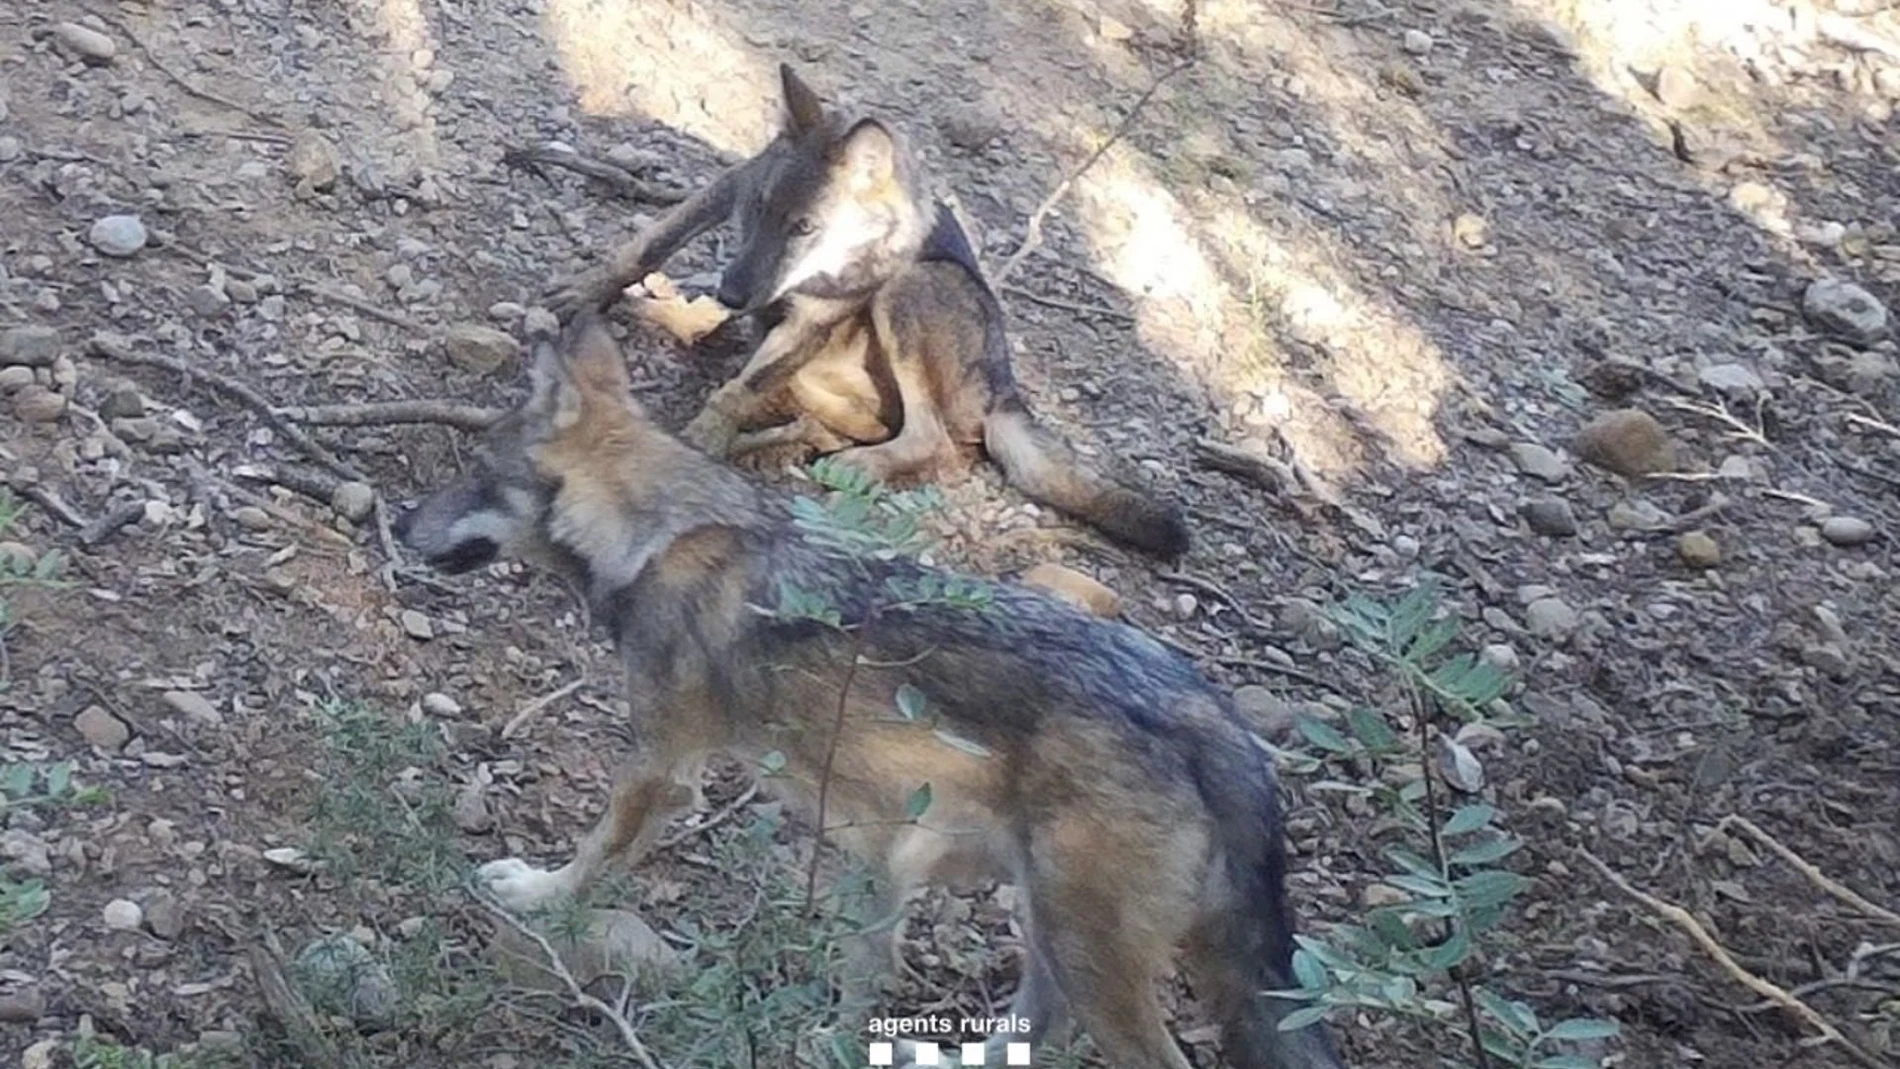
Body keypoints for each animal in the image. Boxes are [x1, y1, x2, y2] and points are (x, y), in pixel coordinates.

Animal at [394, 312, 1345, 1069]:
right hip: (1049, 933)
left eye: (475, 474)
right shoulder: (873, 858)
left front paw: (538, 895)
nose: (400, 526)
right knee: (1028, 1033)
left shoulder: (663, 768)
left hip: (1088, 956)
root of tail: (1212, 715)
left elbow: (592, 859)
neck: (659, 535)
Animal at [542, 64, 1190, 559]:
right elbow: (649, 243)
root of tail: (1005, 391)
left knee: (936, 445)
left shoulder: (814, 318)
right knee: (852, 421)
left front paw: (703, 440)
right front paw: (584, 293)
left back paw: (845, 463)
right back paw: (775, 430)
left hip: (909, 290)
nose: (732, 294)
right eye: (758, 210)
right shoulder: (728, 187)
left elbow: (735, 392)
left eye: (804, 228)